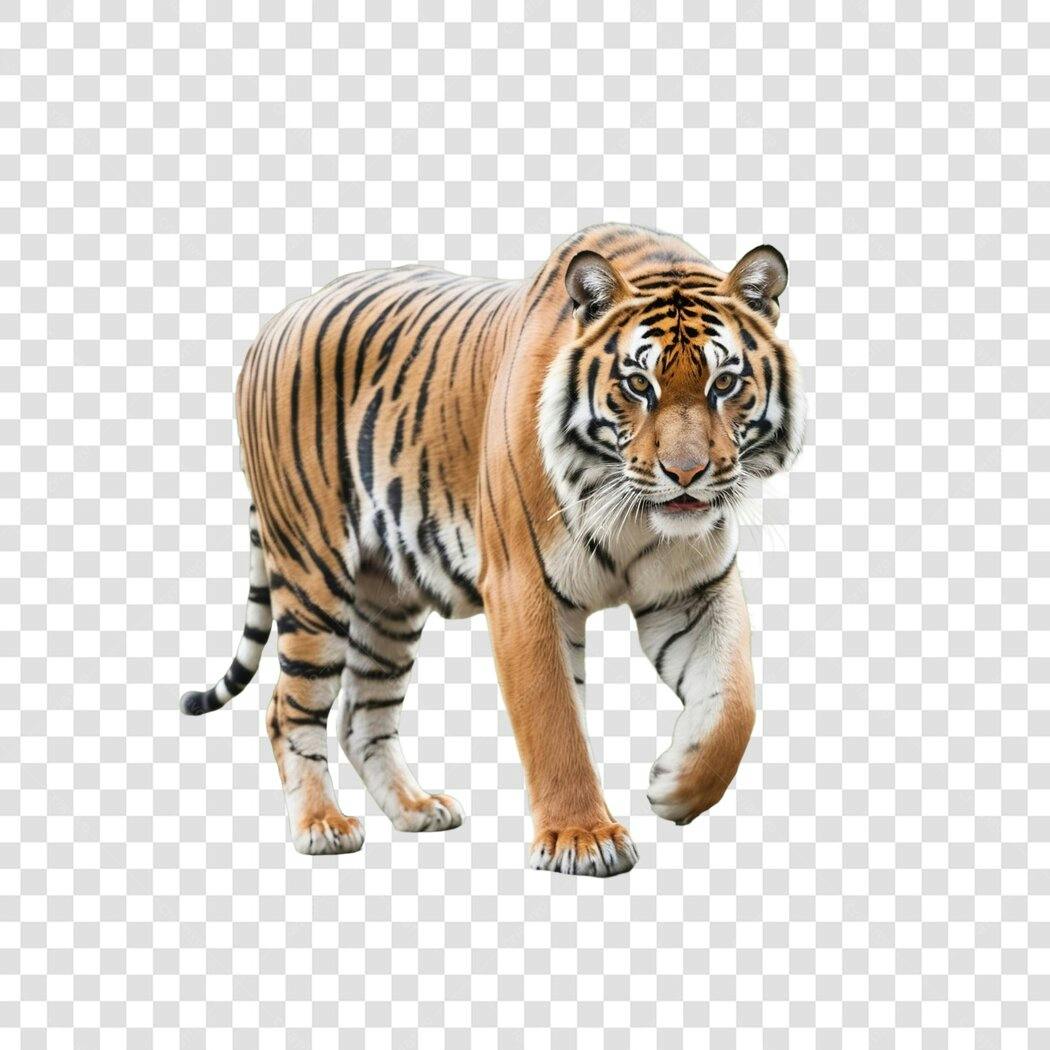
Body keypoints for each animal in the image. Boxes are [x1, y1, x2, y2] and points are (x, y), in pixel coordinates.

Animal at [181, 222, 806, 877]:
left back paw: (417, 809)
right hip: (313, 571)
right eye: (639, 384)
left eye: (724, 383)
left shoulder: (694, 589)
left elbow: (734, 703)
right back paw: (322, 825)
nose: (686, 474)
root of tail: (275, 321)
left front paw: (675, 785)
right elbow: (553, 719)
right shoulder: (522, 585)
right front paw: (583, 837)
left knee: (362, 713)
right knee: (288, 707)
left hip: (387, 600)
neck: (634, 515)